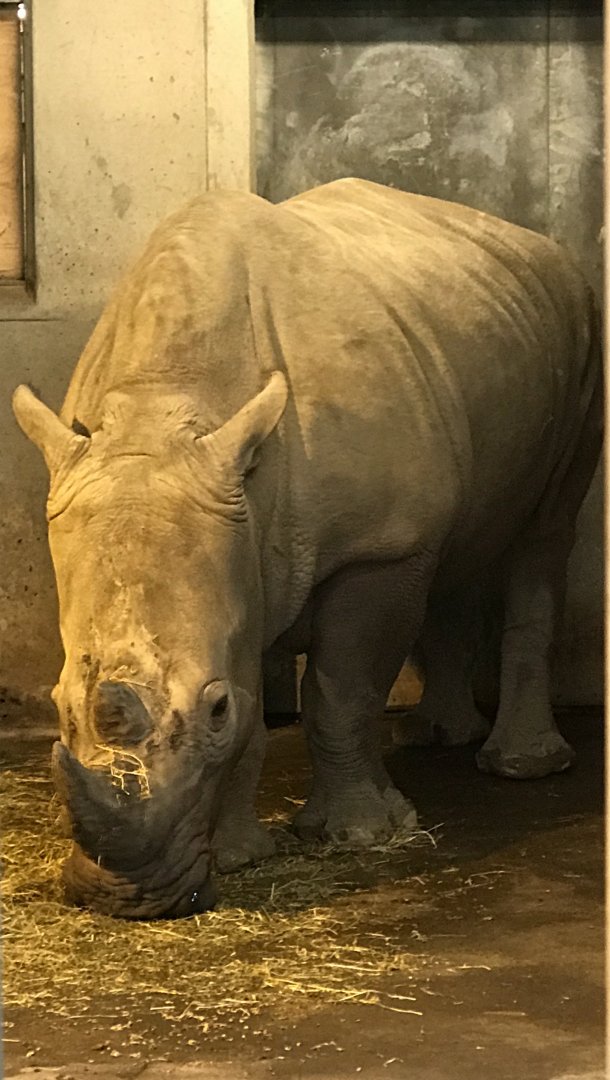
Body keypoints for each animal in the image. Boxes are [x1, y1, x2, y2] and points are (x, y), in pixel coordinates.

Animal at [13, 179, 602, 919]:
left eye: (212, 711)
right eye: (60, 706)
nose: (128, 897)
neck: (167, 405)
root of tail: (532, 240)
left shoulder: (375, 549)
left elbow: (340, 691)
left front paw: (358, 836)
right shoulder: (239, 548)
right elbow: (255, 701)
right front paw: (240, 856)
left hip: (581, 336)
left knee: (544, 533)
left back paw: (519, 766)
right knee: (453, 547)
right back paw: (433, 736)